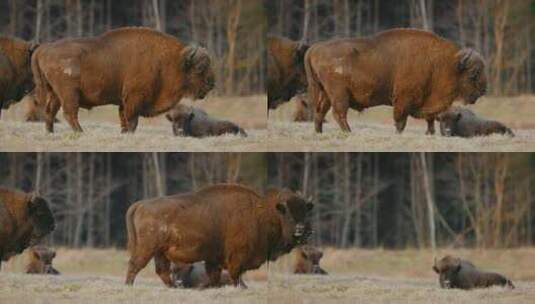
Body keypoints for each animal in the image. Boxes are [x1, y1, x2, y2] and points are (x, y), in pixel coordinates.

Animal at [31, 26, 214, 134]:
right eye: (200, 68)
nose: (211, 84)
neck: (171, 61)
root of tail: (44, 48)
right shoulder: (134, 98)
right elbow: (132, 119)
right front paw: (129, 133)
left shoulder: (123, 101)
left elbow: (124, 118)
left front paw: (124, 132)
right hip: (69, 93)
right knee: (70, 113)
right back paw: (80, 132)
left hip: (55, 93)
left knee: (50, 111)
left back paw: (50, 132)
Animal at [125, 183, 314, 288]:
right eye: (287, 213)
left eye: (305, 212)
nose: (301, 229)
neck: (263, 213)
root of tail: (140, 204)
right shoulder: (237, 256)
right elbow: (235, 274)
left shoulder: (213, 259)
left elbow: (215, 276)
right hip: (147, 249)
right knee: (135, 265)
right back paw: (129, 286)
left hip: (160, 252)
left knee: (161, 271)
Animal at [304, 28, 488, 134]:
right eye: (474, 73)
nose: (484, 90)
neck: (445, 64)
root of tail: (315, 48)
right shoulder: (403, 100)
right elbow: (401, 121)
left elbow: (429, 119)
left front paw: (430, 133)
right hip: (338, 94)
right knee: (338, 113)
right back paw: (349, 132)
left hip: (324, 93)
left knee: (320, 112)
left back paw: (319, 132)